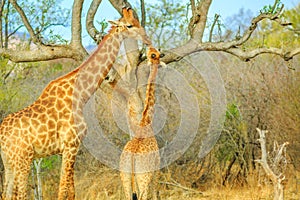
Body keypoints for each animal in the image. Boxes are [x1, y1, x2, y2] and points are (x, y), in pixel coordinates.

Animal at [0, 7, 150, 199]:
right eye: (129, 25)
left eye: (137, 21)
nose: (146, 38)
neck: (80, 95)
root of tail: (2, 135)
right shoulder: (71, 144)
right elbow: (63, 189)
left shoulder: (69, 148)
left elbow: (71, 190)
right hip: (23, 159)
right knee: (19, 194)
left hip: (9, 162)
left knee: (6, 192)